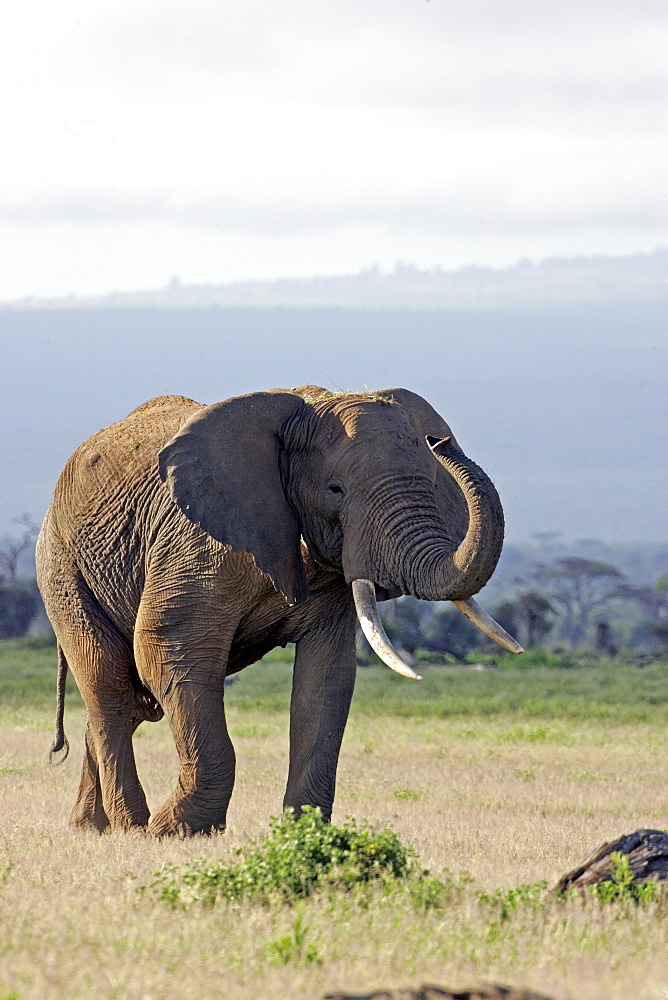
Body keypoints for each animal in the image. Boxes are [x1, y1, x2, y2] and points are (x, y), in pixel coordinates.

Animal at [36, 384, 520, 836]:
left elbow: (325, 681)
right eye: (335, 489)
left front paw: (301, 837)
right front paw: (175, 832)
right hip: (61, 565)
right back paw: (130, 827)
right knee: (109, 686)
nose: (442, 442)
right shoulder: (197, 546)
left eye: (433, 484)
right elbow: (168, 650)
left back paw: (90, 827)